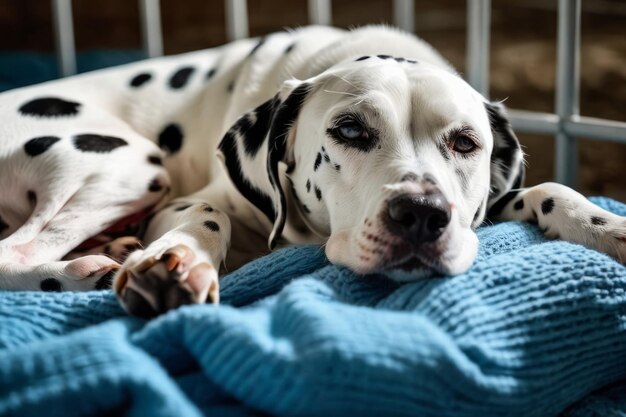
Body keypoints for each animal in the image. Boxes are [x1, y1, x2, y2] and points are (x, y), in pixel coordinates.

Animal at [1, 25, 624, 316]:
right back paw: (84, 272)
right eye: (349, 131)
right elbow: (204, 213)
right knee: (15, 251)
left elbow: (547, 189)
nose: (422, 215)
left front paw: (606, 227)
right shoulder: (190, 198)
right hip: (125, 164)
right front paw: (177, 262)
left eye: (466, 142)